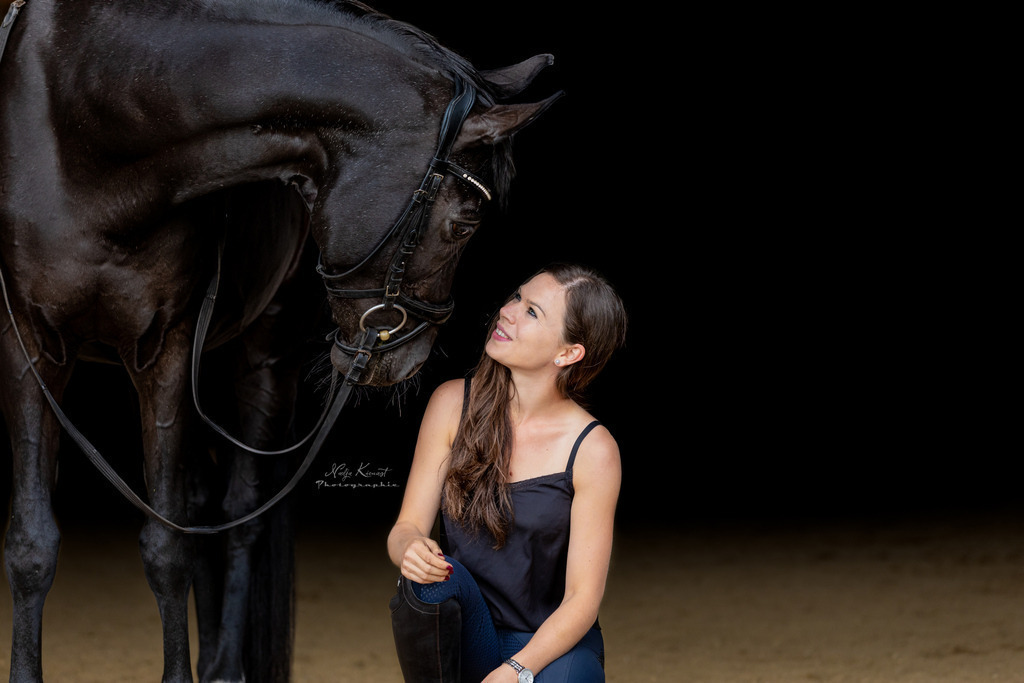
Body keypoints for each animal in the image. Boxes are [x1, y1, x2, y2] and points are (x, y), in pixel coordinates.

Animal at [0, 0, 560, 681]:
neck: (91, 106)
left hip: (262, 354)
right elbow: (32, 544)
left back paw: (223, 667)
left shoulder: (165, 350)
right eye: (466, 223)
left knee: (238, 519)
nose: (411, 358)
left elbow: (167, 546)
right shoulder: (27, 347)